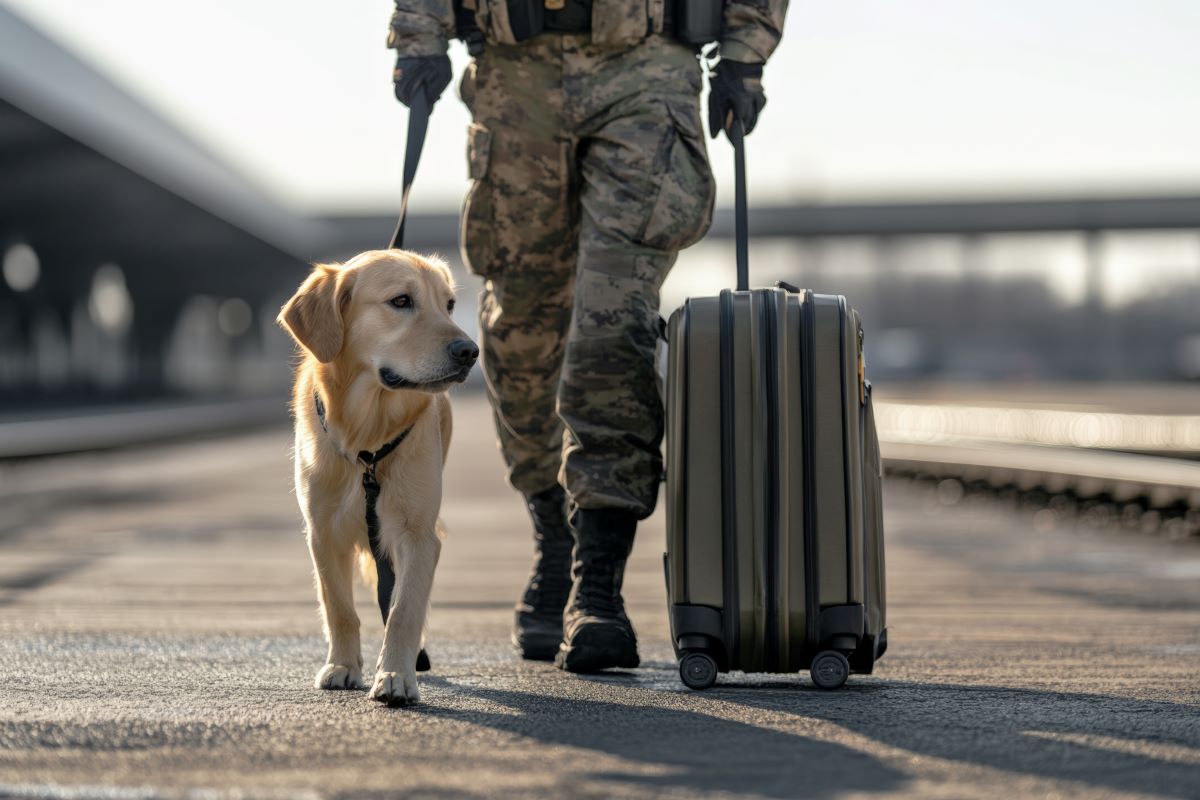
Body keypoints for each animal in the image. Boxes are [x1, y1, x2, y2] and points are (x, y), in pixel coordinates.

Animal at [274, 248, 472, 705]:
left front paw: (396, 675)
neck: (366, 437)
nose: (470, 351)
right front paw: (343, 666)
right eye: (401, 301)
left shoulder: (418, 534)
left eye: (449, 305)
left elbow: (403, 610)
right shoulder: (322, 531)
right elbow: (339, 608)